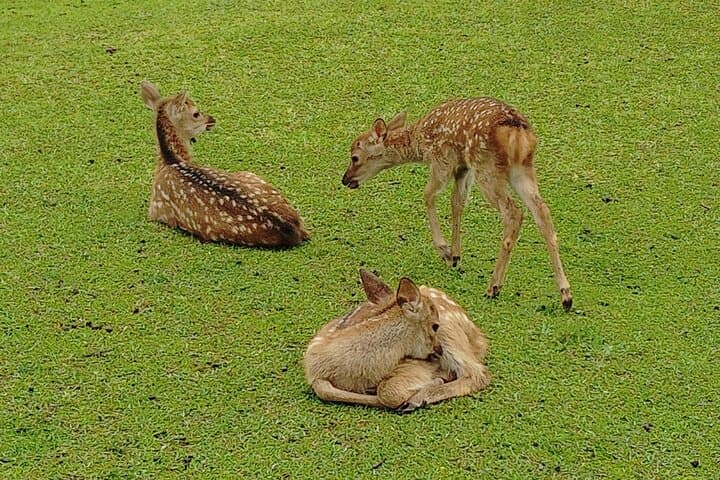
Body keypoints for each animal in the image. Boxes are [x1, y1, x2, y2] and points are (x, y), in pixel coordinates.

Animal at [303, 269, 490, 412]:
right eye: (434, 325)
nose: (438, 351)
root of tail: (478, 336)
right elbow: (324, 390)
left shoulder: (413, 365)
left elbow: (386, 392)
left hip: (451, 337)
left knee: (478, 374)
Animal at [342, 98, 572, 311]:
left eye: (355, 157)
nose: (345, 179)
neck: (419, 144)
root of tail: (518, 133)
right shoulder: (463, 167)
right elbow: (457, 203)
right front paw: (455, 256)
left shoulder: (442, 160)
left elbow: (428, 195)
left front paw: (445, 251)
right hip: (521, 169)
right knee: (542, 211)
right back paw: (566, 295)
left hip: (486, 167)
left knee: (513, 212)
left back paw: (493, 287)